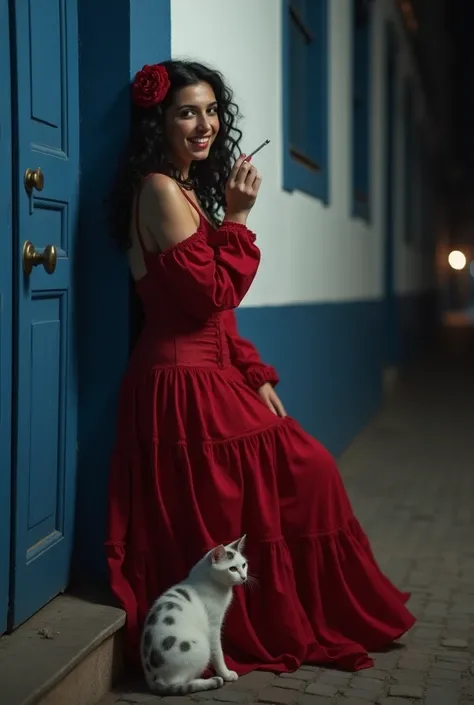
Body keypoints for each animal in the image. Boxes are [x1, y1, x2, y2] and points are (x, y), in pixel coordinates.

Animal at [140, 532, 248, 692]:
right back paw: (211, 680)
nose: (244, 577)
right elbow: (219, 653)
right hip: (202, 647)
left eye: (244, 565)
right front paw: (226, 674)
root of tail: (154, 680)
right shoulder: (213, 626)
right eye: (233, 569)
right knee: (179, 682)